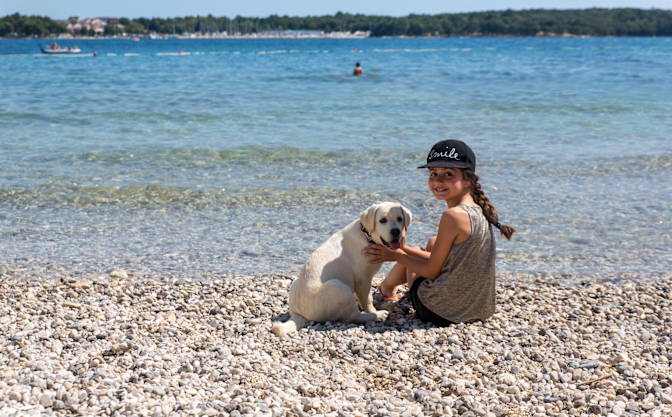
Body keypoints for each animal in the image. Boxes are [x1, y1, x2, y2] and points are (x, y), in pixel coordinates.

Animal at [272, 201, 410, 334]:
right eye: (382, 220)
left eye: (399, 219)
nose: (396, 231)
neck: (366, 235)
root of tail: (300, 314)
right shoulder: (363, 279)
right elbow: (368, 299)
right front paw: (373, 311)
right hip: (340, 288)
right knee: (353, 316)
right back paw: (378, 315)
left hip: (296, 283)